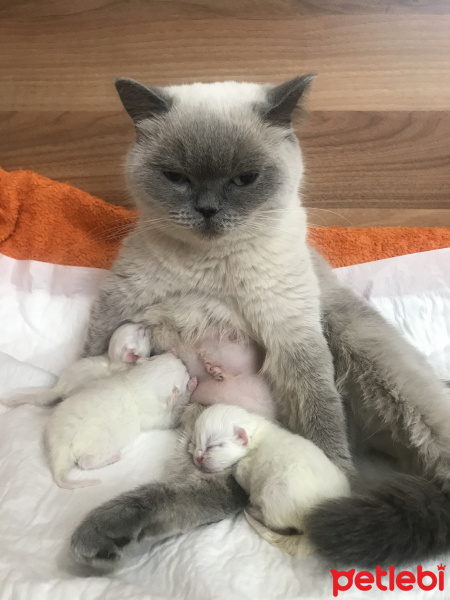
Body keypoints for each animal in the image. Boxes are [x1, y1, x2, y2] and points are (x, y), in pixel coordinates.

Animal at [190, 406, 352, 556]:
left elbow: (240, 472)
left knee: (280, 526)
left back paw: (254, 511)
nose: (198, 457)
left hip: (276, 492)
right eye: (194, 443)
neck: (255, 436)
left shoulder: (245, 469)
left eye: (213, 446)